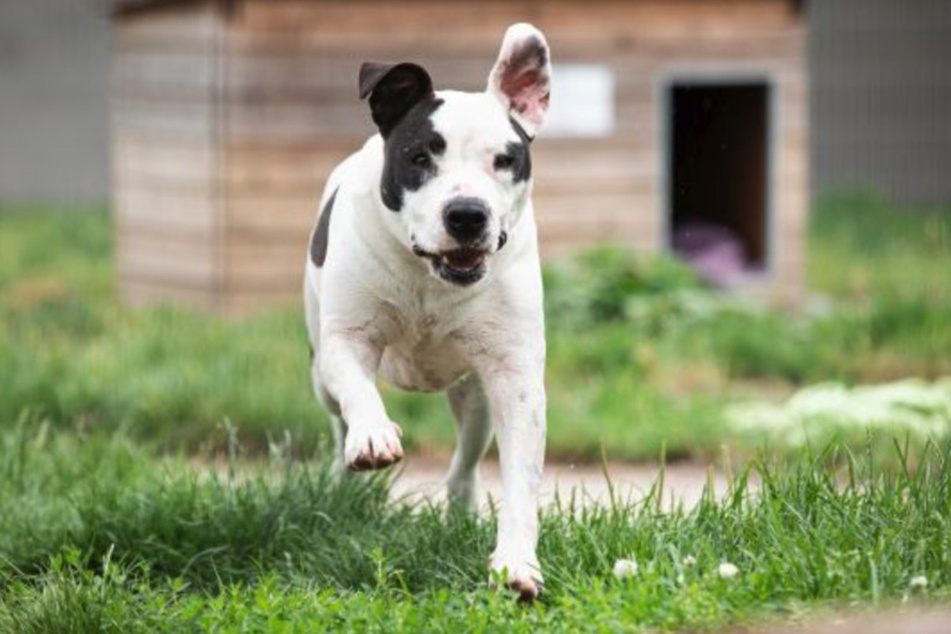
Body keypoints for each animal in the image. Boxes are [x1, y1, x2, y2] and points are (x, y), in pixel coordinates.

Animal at [306, 23, 552, 596]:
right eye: (420, 157)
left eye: (505, 159)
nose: (467, 214)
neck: (428, 278)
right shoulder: (346, 339)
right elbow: (358, 388)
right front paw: (373, 435)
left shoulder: (514, 377)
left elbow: (521, 476)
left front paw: (517, 563)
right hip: (318, 373)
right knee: (336, 419)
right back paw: (343, 481)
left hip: (475, 396)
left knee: (466, 459)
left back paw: (460, 508)